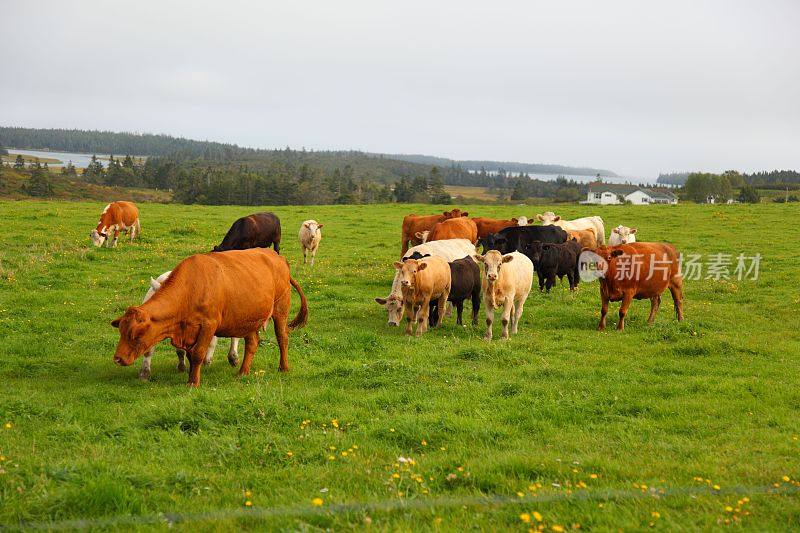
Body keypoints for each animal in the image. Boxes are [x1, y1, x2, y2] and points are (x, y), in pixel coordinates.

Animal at [112, 247, 310, 384]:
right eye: (121, 331)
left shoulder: (209, 325)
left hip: (280, 310)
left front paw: (193, 382)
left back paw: (283, 367)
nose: (117, 358)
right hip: (249, 318)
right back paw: (242, 372)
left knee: (282, 338)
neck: (191, 288)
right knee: (252, 343)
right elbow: (189, 354)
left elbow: (198, 353)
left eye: (135, 334)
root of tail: (278, 257)